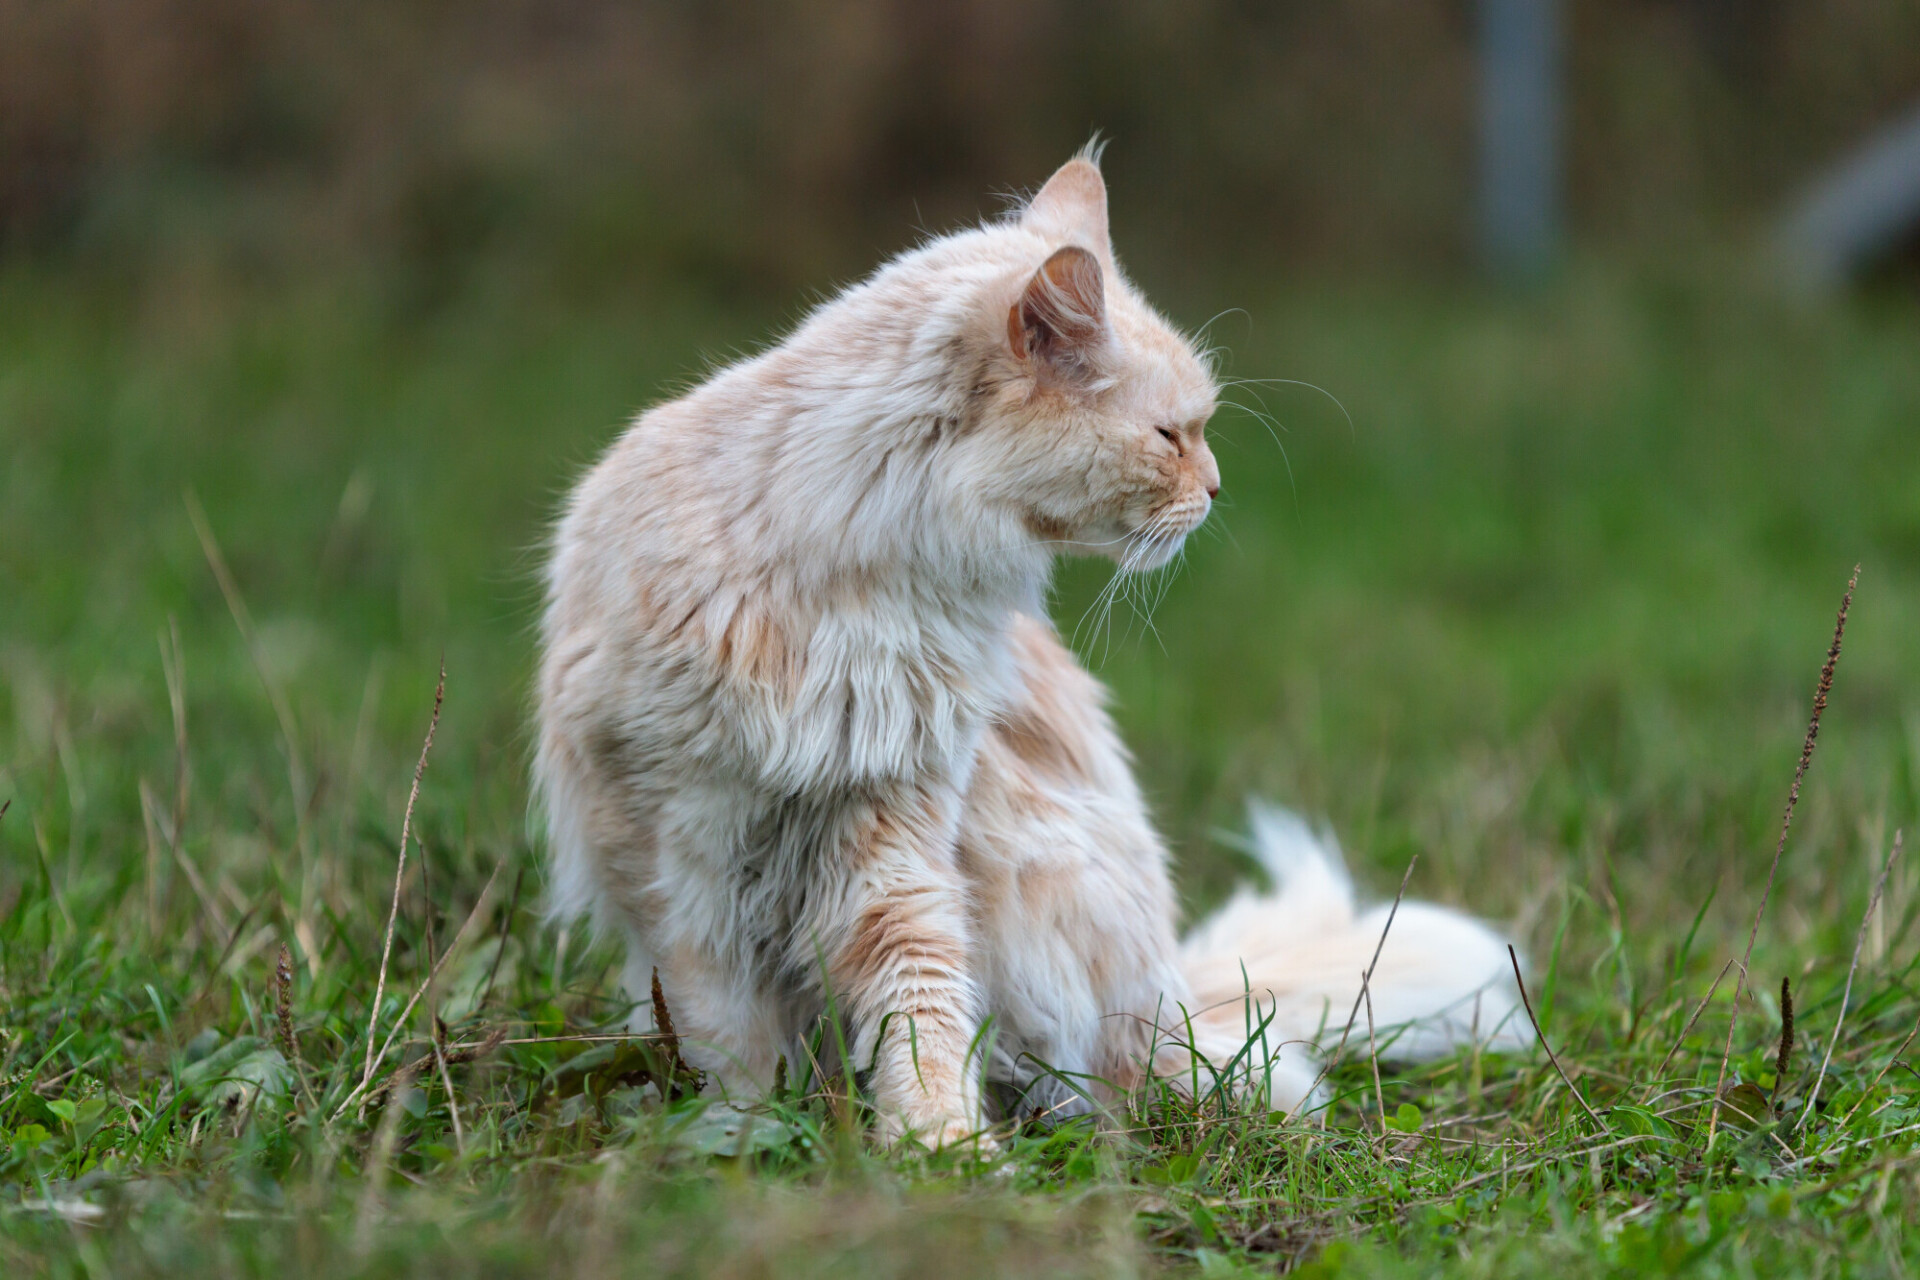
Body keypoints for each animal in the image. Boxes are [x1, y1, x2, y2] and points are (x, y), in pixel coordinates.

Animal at [533, 144, 1520, 1143]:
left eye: (1198, 434)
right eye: (1171, 436)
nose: (1215, 488)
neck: (857, 589)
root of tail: (1179, 986)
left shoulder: (893, 834)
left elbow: (919, 1004)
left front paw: (940, 1147)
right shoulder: (674, 850)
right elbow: (728, 1033)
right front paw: (747, 1137)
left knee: (1178, 1079)